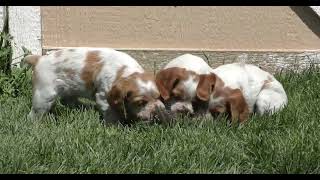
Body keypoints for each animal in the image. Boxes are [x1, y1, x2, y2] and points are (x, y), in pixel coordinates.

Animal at [23, 47, 166, 124]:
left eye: (159, 98)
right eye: (141, 102)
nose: (157, 113)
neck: (124, 71)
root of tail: (39, 59)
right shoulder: (103, 96)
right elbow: (111, 113)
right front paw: (115, 126)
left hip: (68, 89)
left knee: (68, 101)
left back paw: (84, 107)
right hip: (44, 95)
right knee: (34, 114)